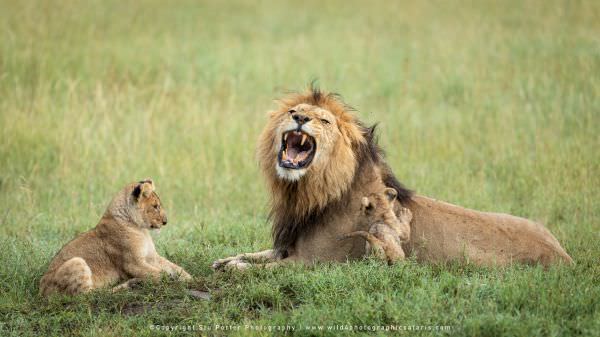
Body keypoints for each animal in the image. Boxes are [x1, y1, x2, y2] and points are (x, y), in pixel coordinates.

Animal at [40, 178, 190, 294]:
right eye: (155, 206)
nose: (165, 222)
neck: (140, 228)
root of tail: (41, 291)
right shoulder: (132, 263)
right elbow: (158, 273)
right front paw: (170, 280)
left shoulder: (151, 256)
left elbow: (173, 266)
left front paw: (188, 278)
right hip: (77, 261)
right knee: (91, 295)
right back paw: (130, 284)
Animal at [213, 88, 576, 270]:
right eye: (292, 112)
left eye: (324, 121)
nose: (300, 118)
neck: (307, 191)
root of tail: (563, 256)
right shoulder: (288, 246)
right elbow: (257, 254)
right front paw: (227, 258)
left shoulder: (312, 262)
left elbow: (260, 269)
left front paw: (235, 267)